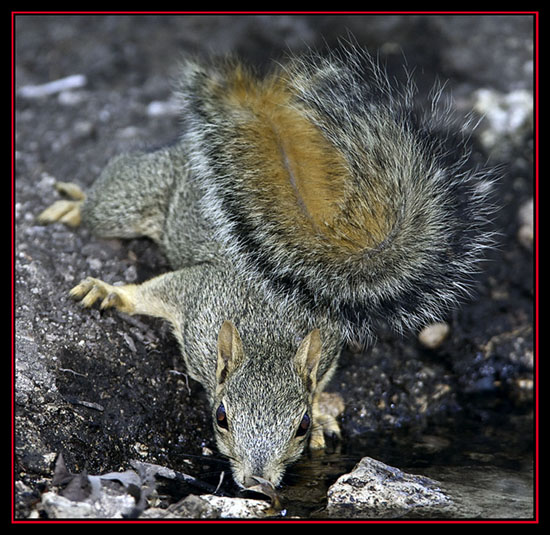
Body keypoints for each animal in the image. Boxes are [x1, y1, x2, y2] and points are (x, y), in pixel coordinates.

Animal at [38, 45, 496, 490]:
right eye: (221, 417)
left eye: (301, 424)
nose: (258, 481)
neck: (265, 334)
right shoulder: (200, 294)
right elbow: (156, 291)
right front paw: (111, 292)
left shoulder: (329, 337)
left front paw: (323, 411)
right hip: (133, 196)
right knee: (109, 198)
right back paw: (75, 204)